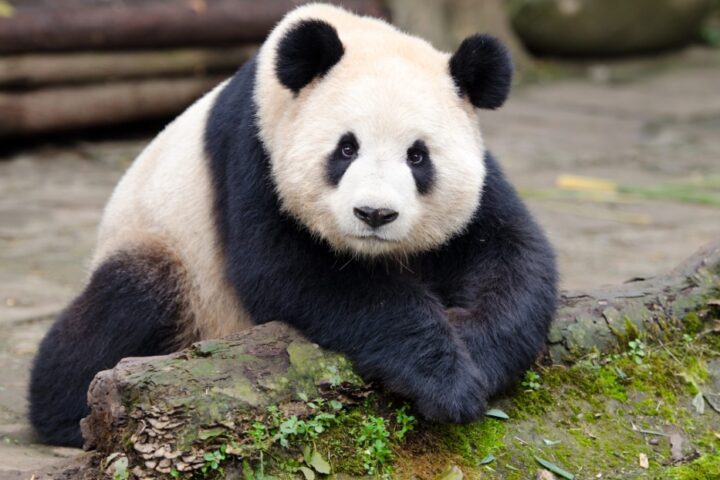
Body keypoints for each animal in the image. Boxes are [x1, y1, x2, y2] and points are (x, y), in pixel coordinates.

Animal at [29, 3, 557, 447]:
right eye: (346, 148)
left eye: (418, 156)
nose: (375, 215)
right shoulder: (253, 147)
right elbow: (288, 270)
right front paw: (446, 379)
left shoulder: (482, 177)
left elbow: (512, 251)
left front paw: (478, 353)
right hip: (171, 257)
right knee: (127, 300)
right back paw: (64, 413)